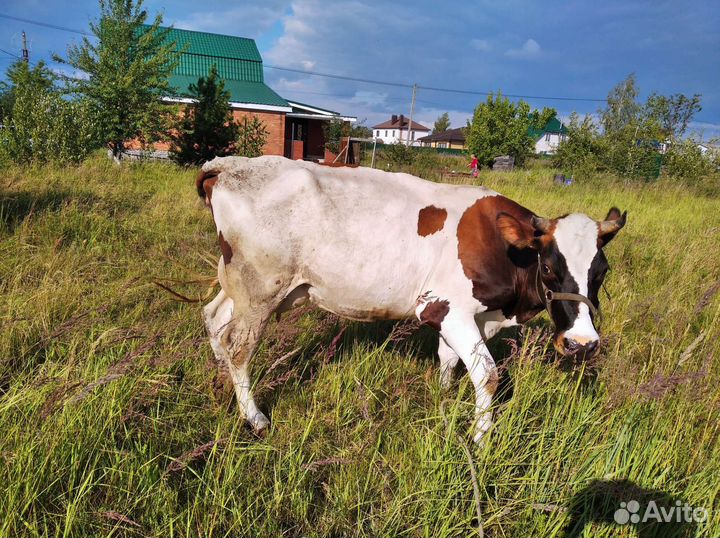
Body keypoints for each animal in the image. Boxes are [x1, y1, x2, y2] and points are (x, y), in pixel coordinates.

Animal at [198, 156, 626, 443]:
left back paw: (221, 379)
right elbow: (487, 375)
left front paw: (443, 397)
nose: (582, 343)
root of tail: (230, 164)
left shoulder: (469, 317)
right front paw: (480, 438)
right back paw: (254, 417)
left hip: (240, 283)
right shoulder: (445, 307)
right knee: (239, 347)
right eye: (550, 267)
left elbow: (449, 359)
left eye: (602, 271)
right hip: (261, 288)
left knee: (214, 318)